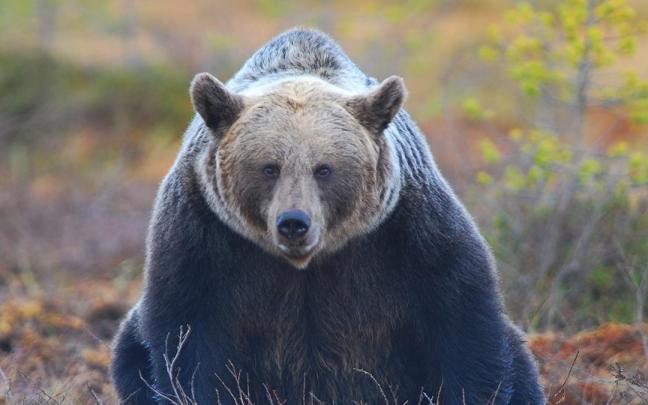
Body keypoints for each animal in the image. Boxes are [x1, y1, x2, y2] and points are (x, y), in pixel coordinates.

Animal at [111, 28, 545, 405]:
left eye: (324, 168)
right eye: (269, 167)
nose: (294, 223)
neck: (307, 265)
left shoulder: (406, 233)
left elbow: (464, 323)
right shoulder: (204, 238)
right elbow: (186, 342)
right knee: (129, 351)